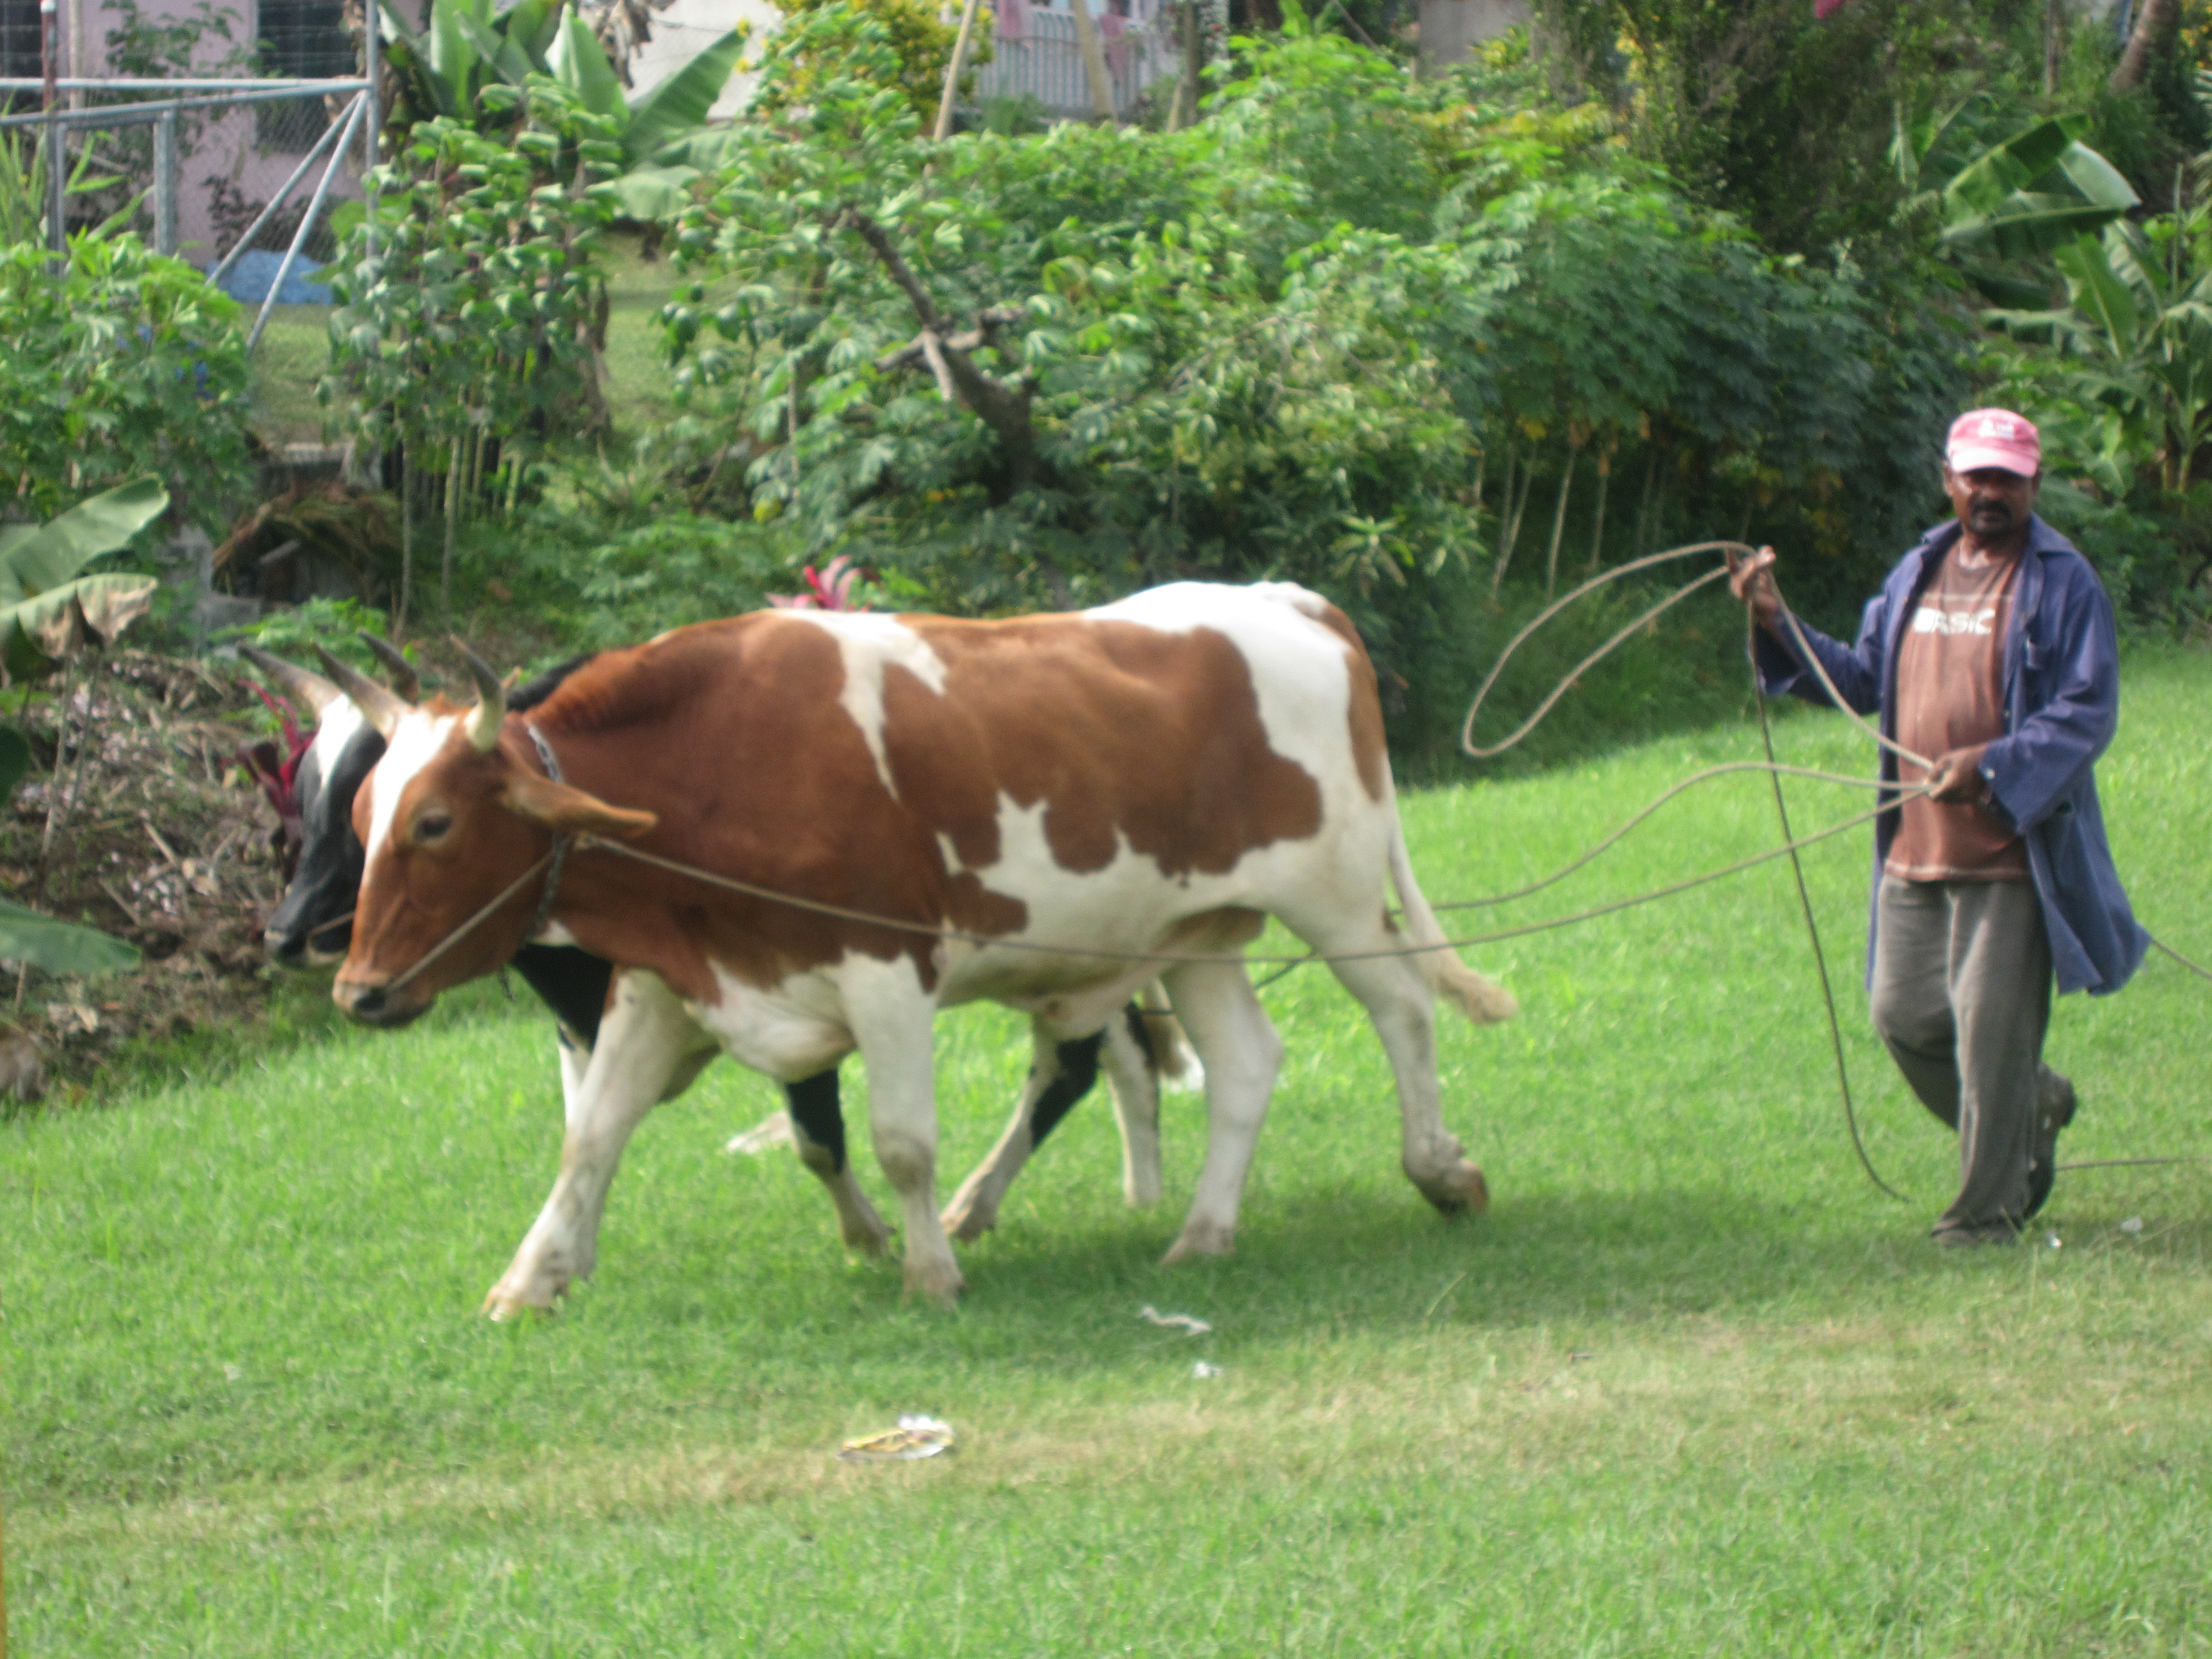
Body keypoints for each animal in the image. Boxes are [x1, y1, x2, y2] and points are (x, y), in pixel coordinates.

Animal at [336, 588, 1513, 1310]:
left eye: (432, 824)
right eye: (359, 817)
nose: (356, 992)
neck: (712, 766)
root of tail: (1285, 600)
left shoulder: (886, 971)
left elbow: (901, 1143)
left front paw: (931, 1272)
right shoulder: (673, 980)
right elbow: (590, 1137)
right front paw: (530, 1279)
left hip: (1337, 897)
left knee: (1404, 1012)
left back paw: (1439, 1170)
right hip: (1194, 932)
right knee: (1247, 1066)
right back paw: (1202, 1231)